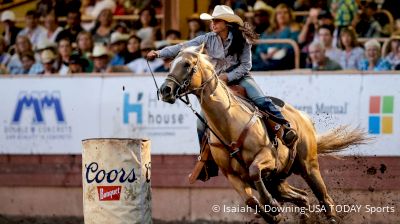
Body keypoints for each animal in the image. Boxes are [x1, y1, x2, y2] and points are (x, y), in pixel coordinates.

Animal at [159, 43, 368, 222]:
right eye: (172, 63)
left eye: (186, 64)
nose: (165, 90)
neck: (229, 123)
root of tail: (303, 118)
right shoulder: (232, 175)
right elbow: (251, 200)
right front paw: (273, 213)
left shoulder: (267, 157)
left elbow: (254, 171)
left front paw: (272, 206)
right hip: (277, 181)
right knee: (303, 197)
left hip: (309, 166)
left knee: (325, 199)